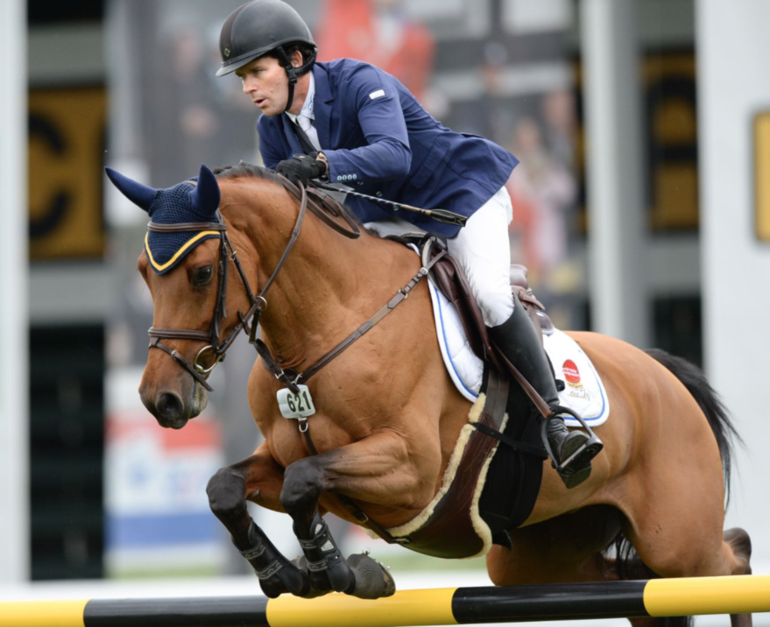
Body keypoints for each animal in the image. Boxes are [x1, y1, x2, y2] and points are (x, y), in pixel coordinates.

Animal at [106, 163, 752, 627]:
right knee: (634, 585)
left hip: (679, 541)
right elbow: (227, 487)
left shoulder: (410, 470)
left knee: (733, 560)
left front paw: (338, 572)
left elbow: (304, 483)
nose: (161, 400)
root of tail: (664, 374)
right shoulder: (286, 456)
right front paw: (284, 574)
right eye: (140, 272)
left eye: (201, 273)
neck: (327, 327)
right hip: (538, 554)